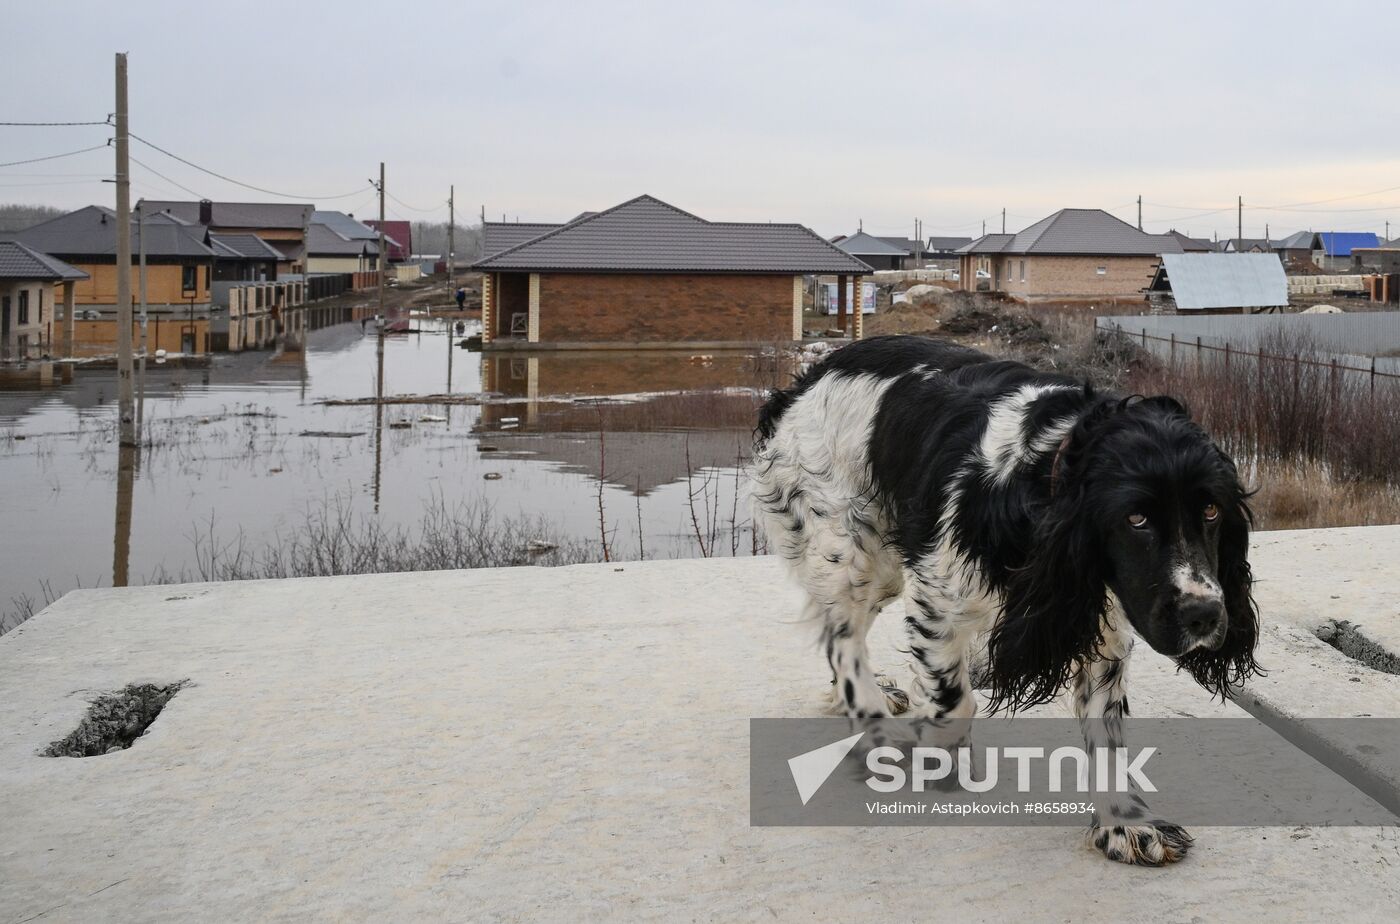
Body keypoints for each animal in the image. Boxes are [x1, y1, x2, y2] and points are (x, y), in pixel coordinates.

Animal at [750, 333, 1265, 868]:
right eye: (1136, 519)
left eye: (1211, 511)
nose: (1205, 615)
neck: (1037, 487)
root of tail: (807, 376)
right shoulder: (937, 604)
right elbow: (955, 702)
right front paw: (941, 763)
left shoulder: (1102, 624)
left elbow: (1107, 734)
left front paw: (1126, 823)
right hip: (851, 551)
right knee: (842, 639)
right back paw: (875, 731)